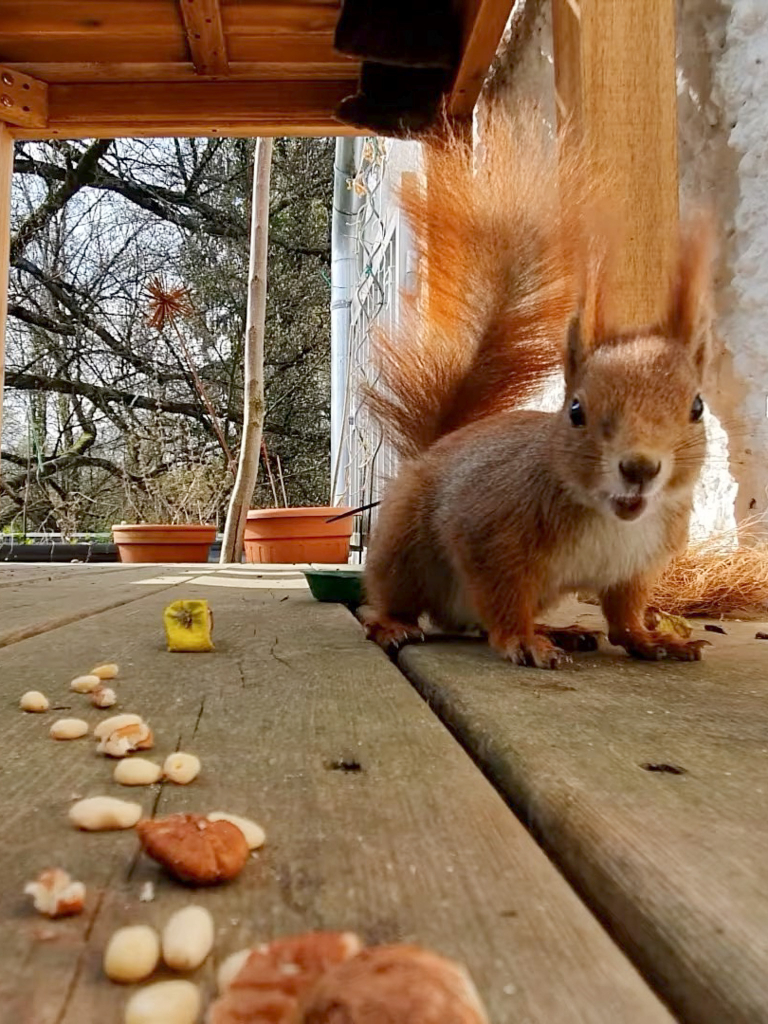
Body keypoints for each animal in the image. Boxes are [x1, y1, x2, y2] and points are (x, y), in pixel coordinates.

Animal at [364, 112, 712, 667]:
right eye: (575, 410)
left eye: (697, 407)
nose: (639, 468)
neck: (610, 517)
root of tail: (434, 449)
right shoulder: (488, 532)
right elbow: (504, 598)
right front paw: (523, 640)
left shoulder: (637, 564)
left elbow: (625, 610)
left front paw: (651, 638)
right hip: (403, 547)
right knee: (394, 599)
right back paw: (394, 626)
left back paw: (563, 628)